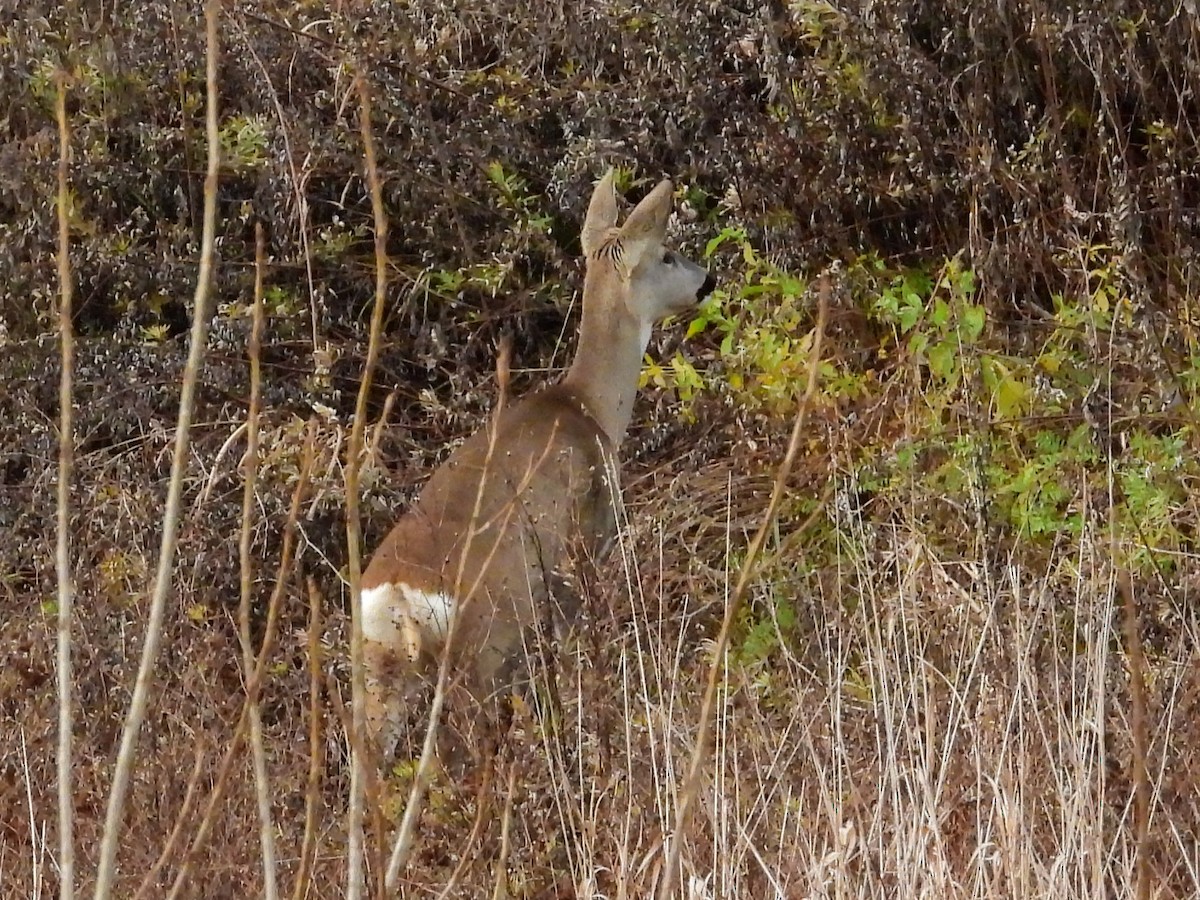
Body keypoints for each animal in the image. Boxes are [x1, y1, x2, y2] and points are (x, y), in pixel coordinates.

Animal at [360, 168, 716, 757]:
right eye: (666, 254)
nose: (706, 280)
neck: (587, 407)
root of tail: (400, 599)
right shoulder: (585, 539)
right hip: (486, 637)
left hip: (382, 671)